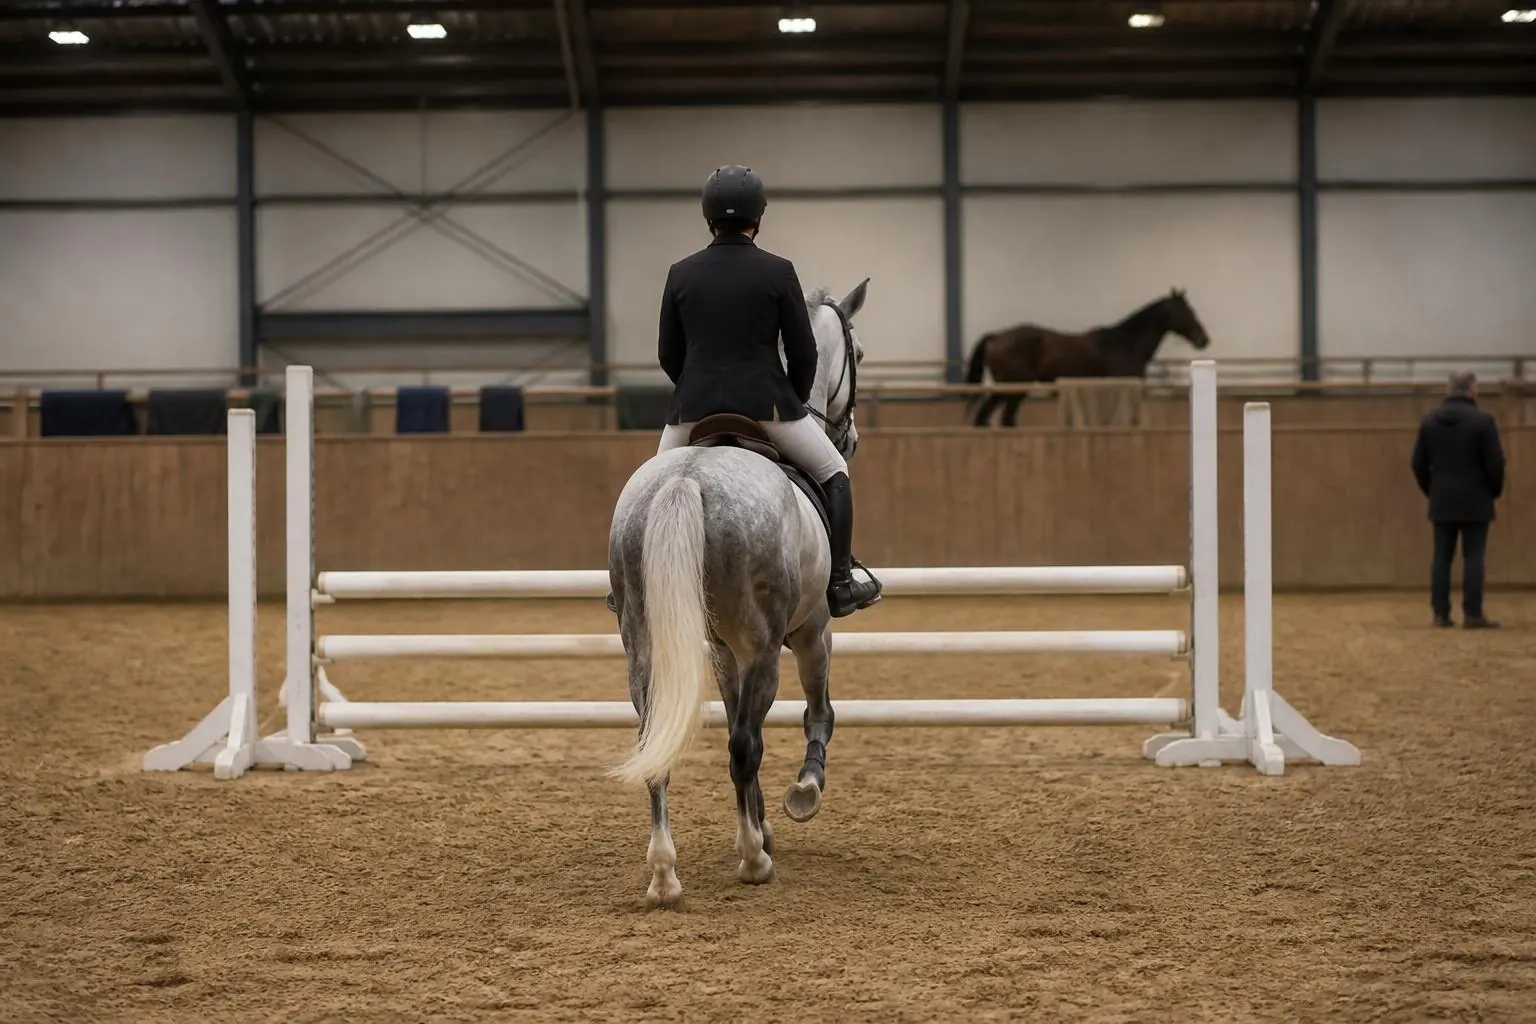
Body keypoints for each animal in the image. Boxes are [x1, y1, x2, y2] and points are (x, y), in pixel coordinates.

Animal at [605, 277, 870, 909]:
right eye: (858, 353)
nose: (850, 436)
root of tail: (688, 479)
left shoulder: (724, 650)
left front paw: (763, 821)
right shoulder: (812, 630)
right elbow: (817, 713)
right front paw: (802, 794)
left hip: (645, 641)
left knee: (658, 743)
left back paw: (664, 874)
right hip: (766, 642)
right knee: (746, 744)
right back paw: (753, 861)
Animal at [963, 289, 1210, 427]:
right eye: (1186, 311)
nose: (1203, 339)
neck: (1125, 343)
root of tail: (997, 336)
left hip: (1005, 389)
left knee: (985, 418)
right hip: (1014, 389)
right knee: (1005, 419)